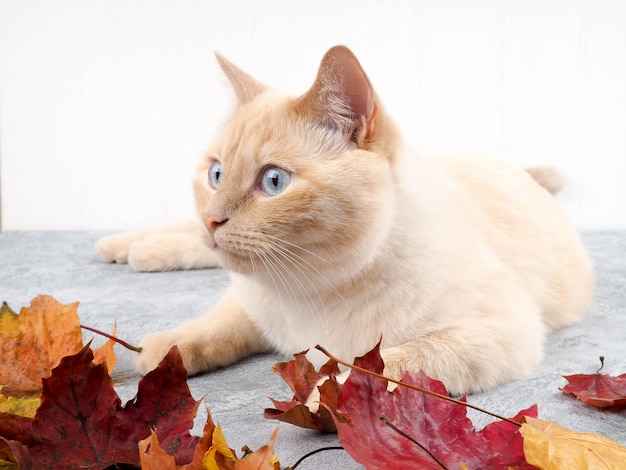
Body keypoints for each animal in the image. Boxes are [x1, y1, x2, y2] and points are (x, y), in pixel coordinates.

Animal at [95, 46, 592, 394]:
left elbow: (387, 366)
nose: (214, 218)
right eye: (216, 175)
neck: (310, 289)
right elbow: (216, 326)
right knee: (185, 238)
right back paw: (124, 247)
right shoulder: (252, 299)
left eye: (273, 181)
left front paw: (325, 397)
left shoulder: (501, 332)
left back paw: (136, 250)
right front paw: (164, 352)